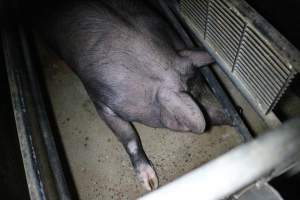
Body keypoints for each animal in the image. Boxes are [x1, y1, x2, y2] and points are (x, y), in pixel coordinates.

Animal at [35, 0, 219, 191]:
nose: (230, 113)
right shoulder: (100, 100)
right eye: (198, 98)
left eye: (205, 86)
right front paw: (151, 185)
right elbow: (129, 137)